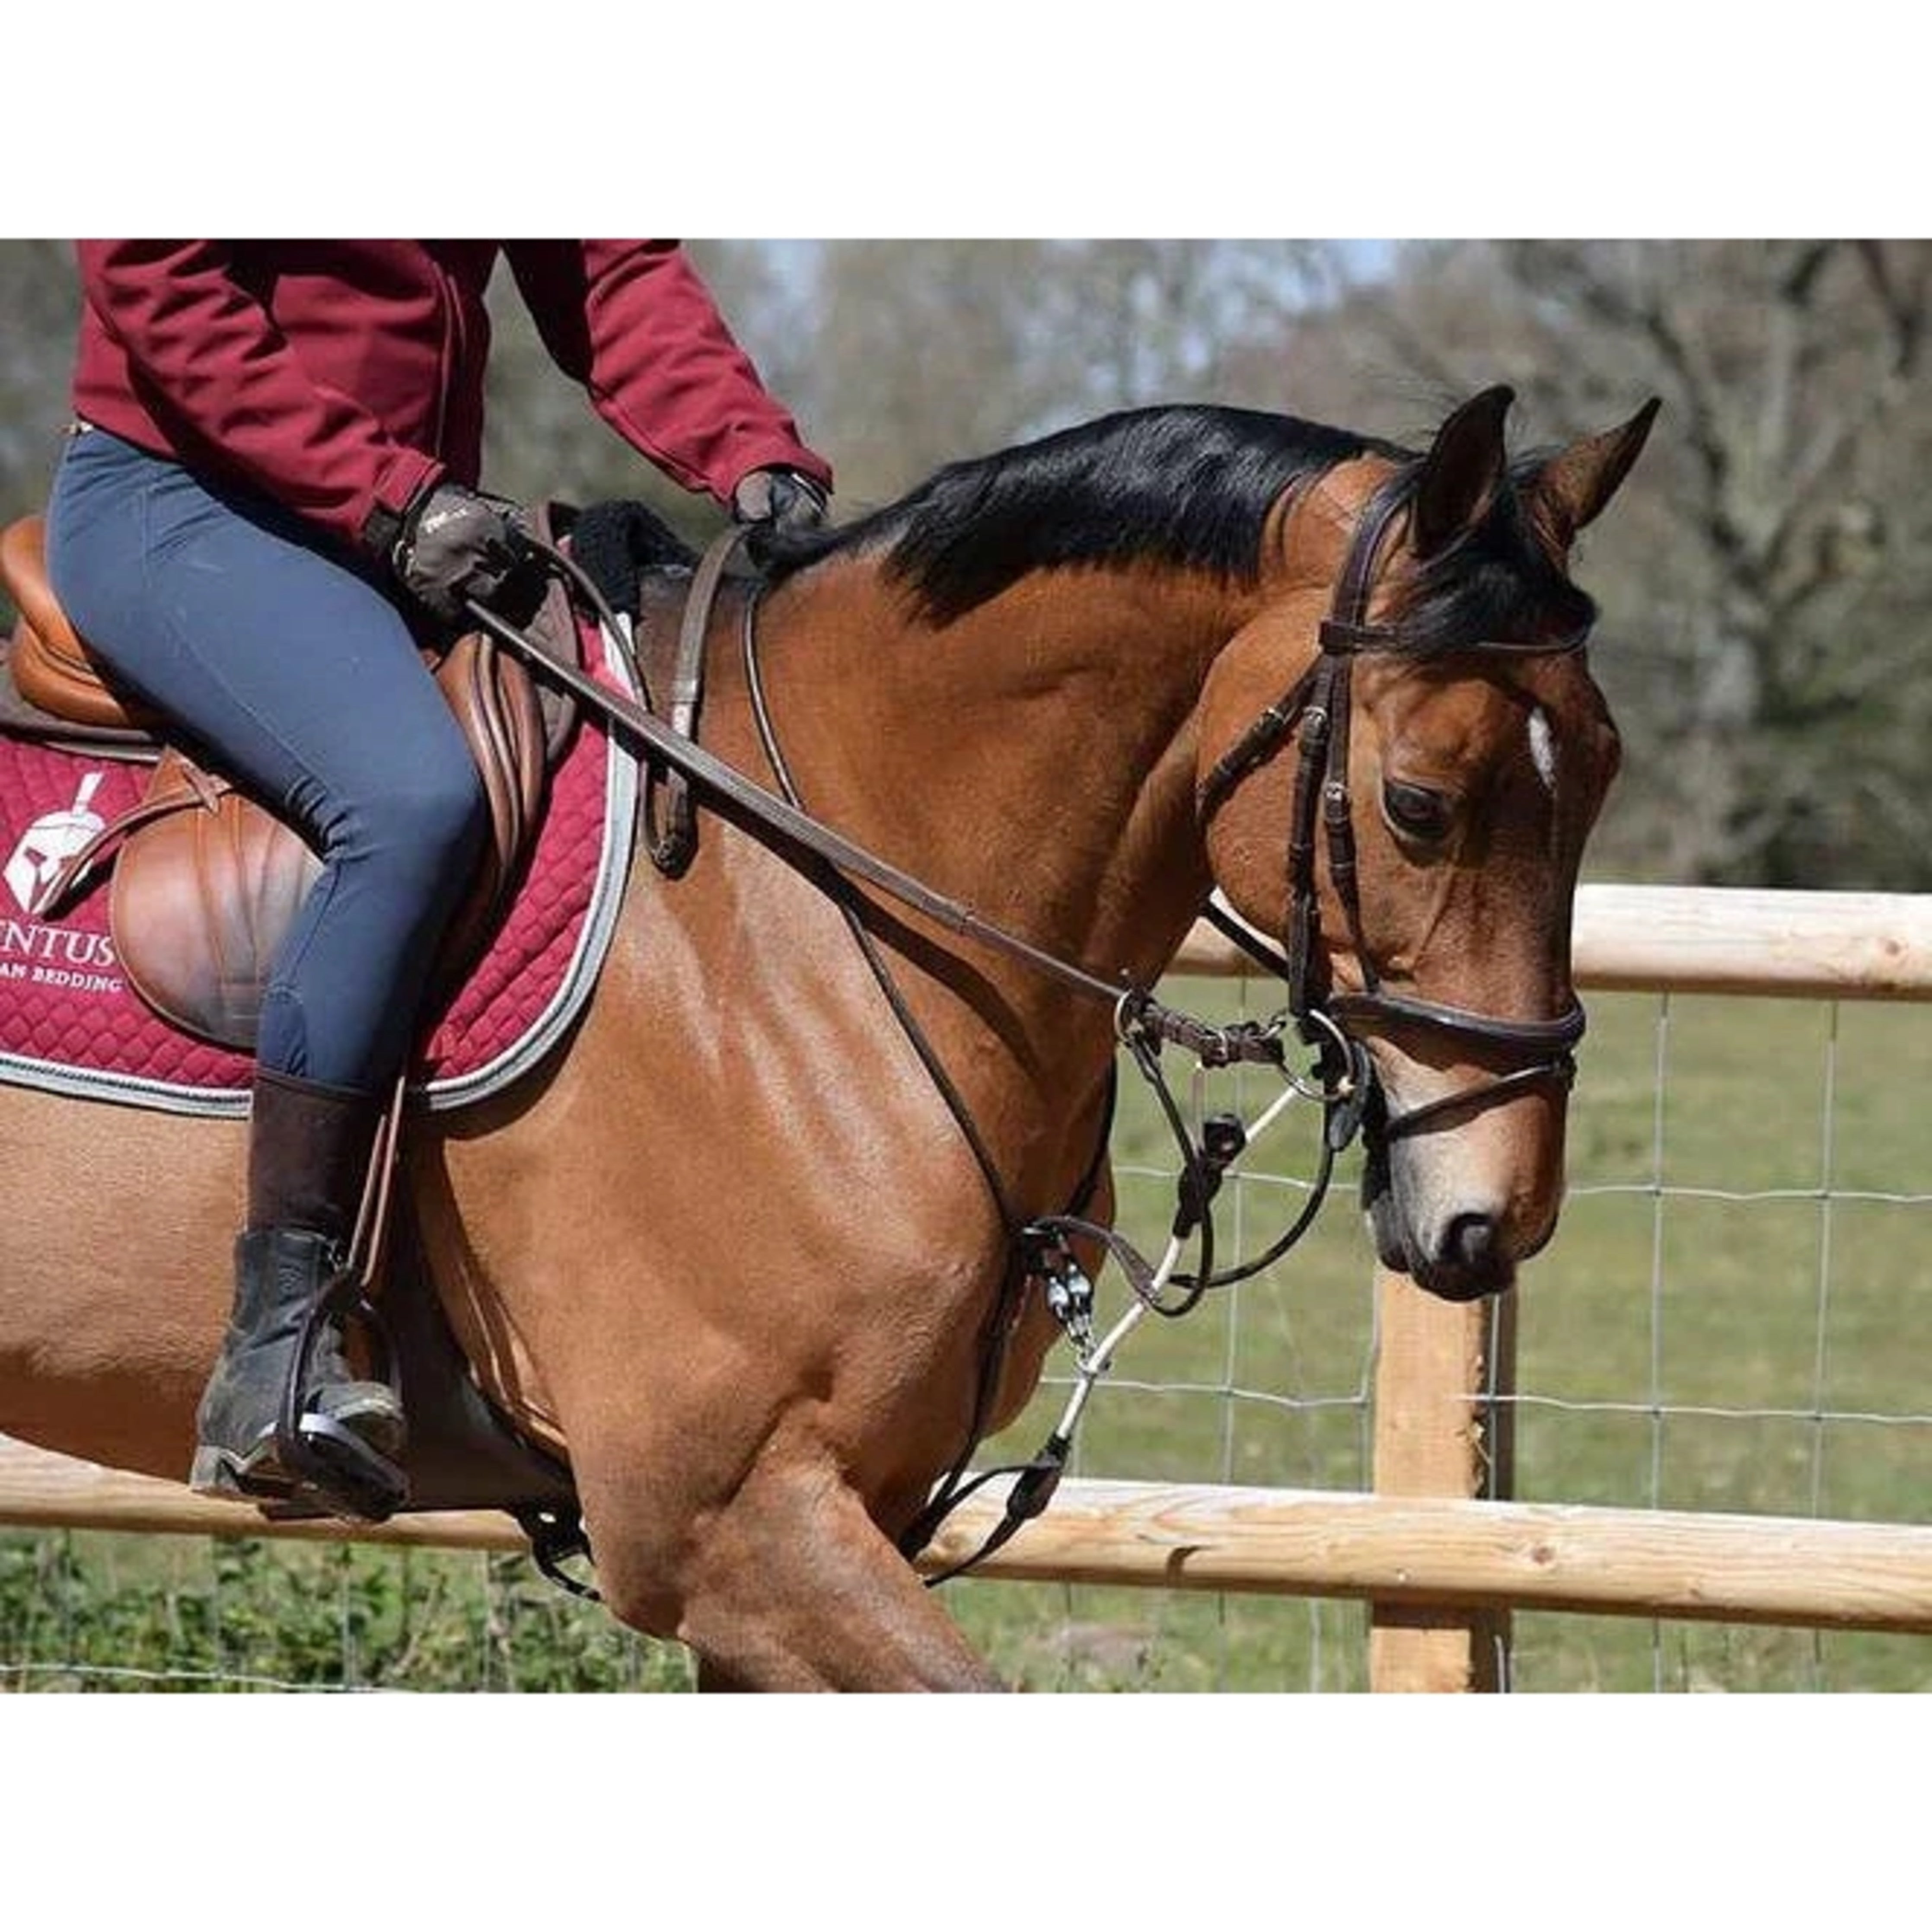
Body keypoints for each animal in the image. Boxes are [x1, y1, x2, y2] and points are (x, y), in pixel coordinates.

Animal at [0, 382, 1654, 1690]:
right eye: (1419, 802)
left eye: (1599, 774)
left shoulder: (841, 1517)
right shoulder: (731, 1527)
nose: (1496, 1214)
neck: (809, 909)